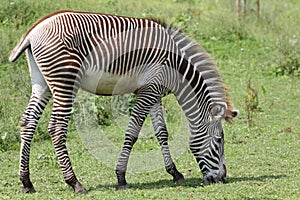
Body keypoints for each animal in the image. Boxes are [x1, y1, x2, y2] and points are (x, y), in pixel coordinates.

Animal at [9, 9, 238, 194]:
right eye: (219, 141)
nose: (222, 178)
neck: (177, 65)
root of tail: (35, 30)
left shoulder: (153, 92)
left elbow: (161, 133)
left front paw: (175, 173)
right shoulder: (148, 91)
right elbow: (132, 134)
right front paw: (121, 177)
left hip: (42, 83)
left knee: (27, 122)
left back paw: (27, 182)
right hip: (65, 80)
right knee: (56, 128)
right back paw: (75, 183)